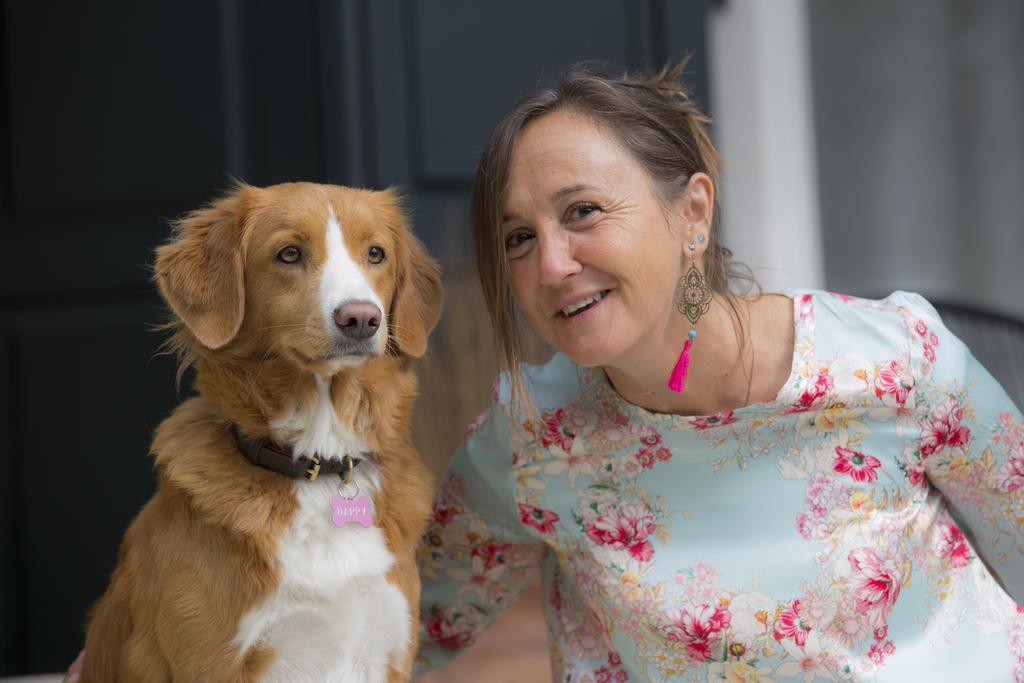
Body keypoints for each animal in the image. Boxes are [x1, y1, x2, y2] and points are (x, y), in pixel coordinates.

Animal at [78, 183, 444, 683]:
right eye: (288, 254)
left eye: (376, 254)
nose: (361, 319)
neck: (318, 464)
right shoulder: (214, 664)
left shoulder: (385, 650)